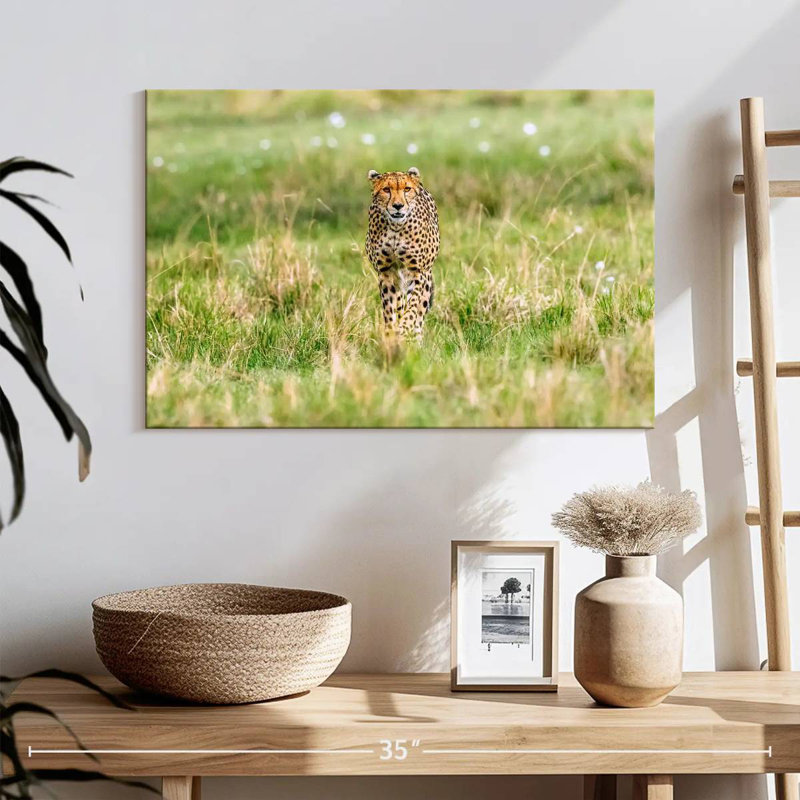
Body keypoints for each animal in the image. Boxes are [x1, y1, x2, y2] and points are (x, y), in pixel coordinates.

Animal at [365, 167, 440, 341]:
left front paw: (405, 328)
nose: (398, 206)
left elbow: (413, 307)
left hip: (426, 277)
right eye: (386, 189)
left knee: (419, 312)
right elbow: (389, 310)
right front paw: (391, 334)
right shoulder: (386, 272)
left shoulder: (417, 272)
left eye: (407, 189)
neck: (395, 227)